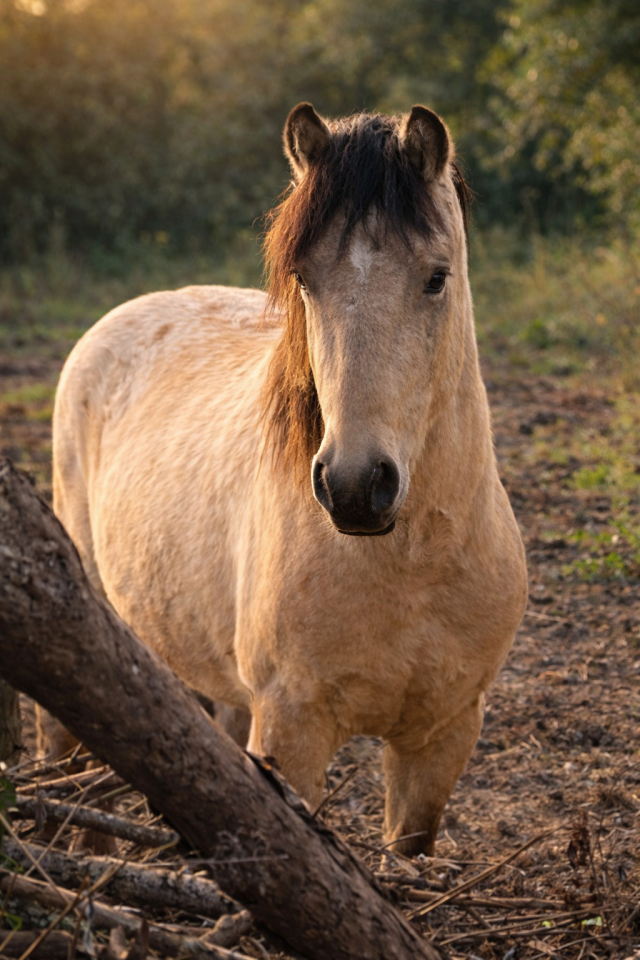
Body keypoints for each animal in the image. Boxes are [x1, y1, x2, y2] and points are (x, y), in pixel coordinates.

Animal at [42, 103, 527, 856]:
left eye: (436, 277)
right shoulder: (293, 733)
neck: (413, 566)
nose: (355, 485)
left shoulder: (443, 737)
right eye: (305, 280)